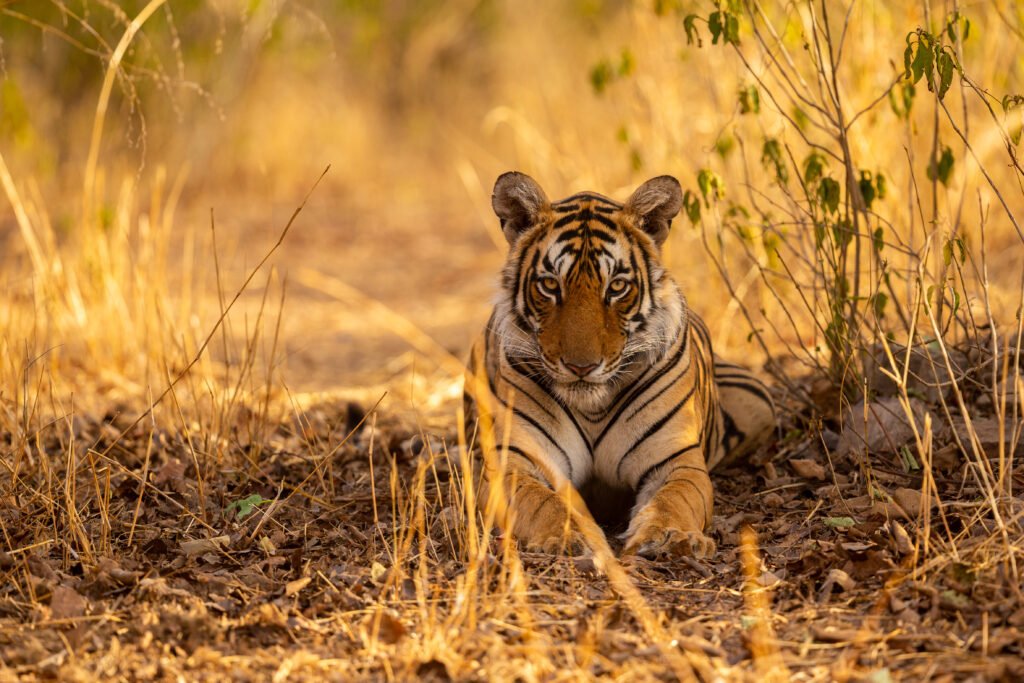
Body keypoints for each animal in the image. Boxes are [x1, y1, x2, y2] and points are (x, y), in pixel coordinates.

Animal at [465, 172, 775, 559]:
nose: (581, 367)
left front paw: (670, 536)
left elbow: (675, 499)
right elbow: (543, 503)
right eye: (550, 285)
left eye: (616, 287)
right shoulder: (514, 460)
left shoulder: (676, 460)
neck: (592, 407)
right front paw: (572, 537)